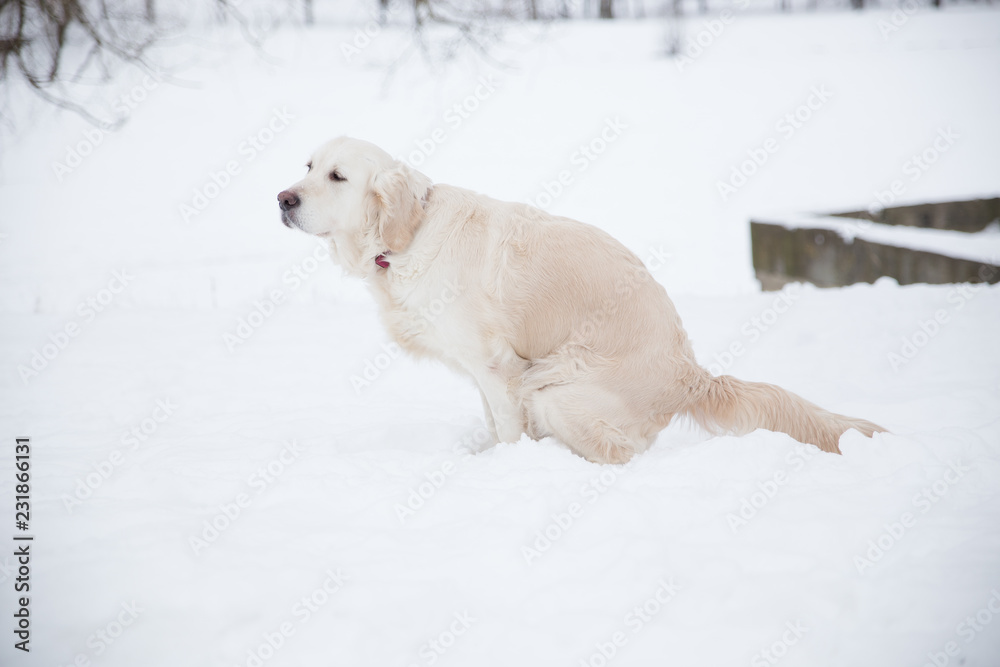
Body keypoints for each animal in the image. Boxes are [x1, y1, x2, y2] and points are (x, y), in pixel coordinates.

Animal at [278, 137, 880, 464]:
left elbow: (508, 428)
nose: (282, 199)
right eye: (306, 166)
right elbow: (494, 425)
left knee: (621, 453)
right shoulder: (480, 371)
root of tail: (690, 372)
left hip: (558, 388)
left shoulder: (499, 367)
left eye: (338, 176)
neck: (407, 237)